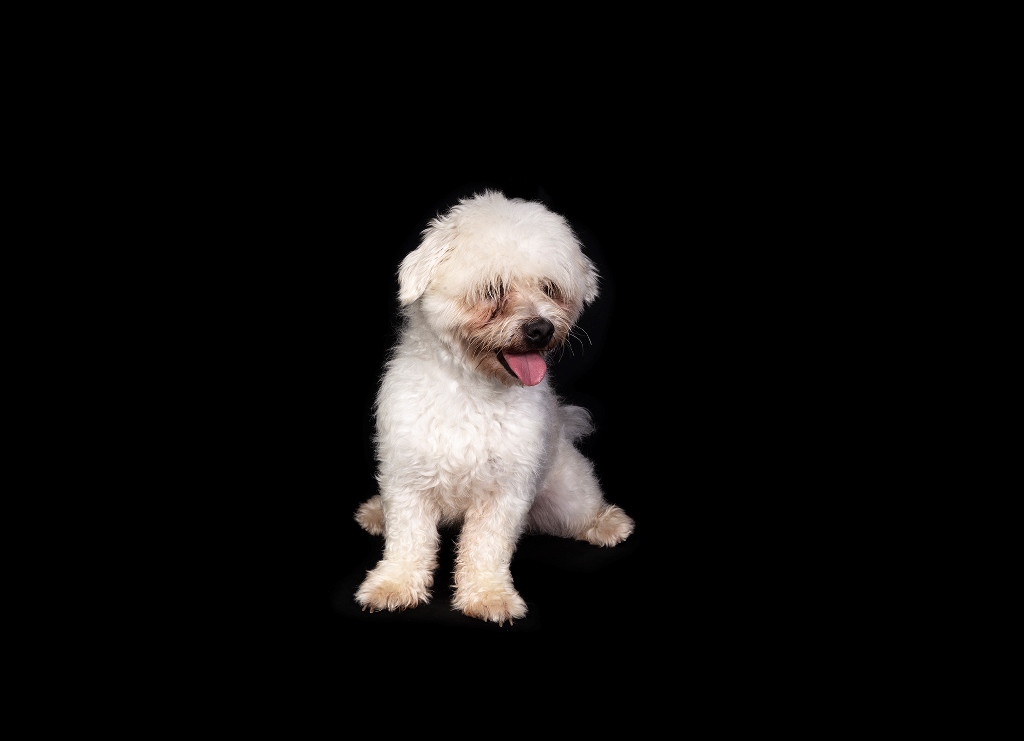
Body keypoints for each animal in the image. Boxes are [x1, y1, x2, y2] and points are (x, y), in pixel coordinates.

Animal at [353, 190, 633, 625]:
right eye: (492, 290)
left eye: (549, 289)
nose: (540, 329)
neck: (472, 388)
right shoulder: (407, 479)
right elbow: (408, 541)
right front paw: (394, 584)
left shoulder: (506, 490)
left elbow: (487, 547)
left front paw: (488, 594)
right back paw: (375, 513)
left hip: (567, 493)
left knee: (581, 510)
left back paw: (606, 523)